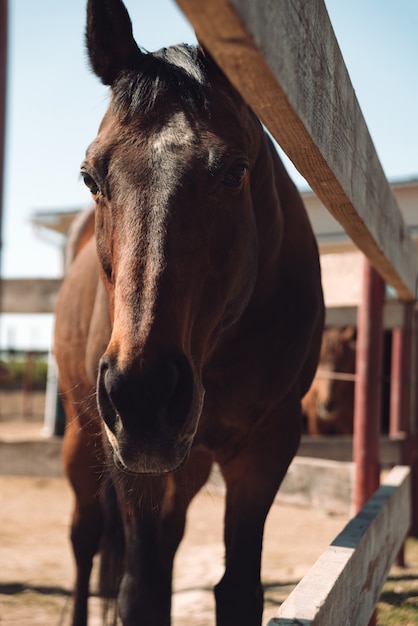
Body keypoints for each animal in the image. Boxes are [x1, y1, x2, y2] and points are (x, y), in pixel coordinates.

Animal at [54, 1, 324, 624]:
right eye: (90, 176)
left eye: (234, 172)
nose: (142, 396)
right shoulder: (126, 458)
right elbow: (142, 591)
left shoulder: (268, 443)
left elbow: (239, 590)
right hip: (84, 432)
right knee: (83, 538)